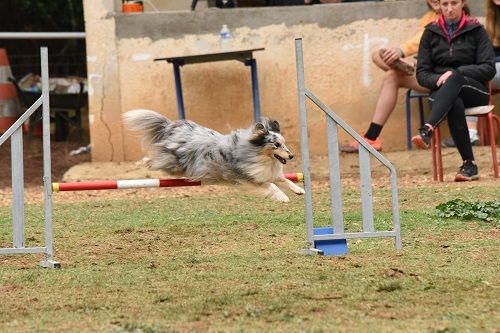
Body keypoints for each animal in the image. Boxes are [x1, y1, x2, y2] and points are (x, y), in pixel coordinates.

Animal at [124, 110, 304, 201]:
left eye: (284, 143)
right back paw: (143, 163)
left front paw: (299, 190)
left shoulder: (266, 173)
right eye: (276, 145)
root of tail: (172, 126)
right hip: (173, 162)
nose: (291, 156)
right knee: (156, 158)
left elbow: (285, 179)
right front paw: (283, 197)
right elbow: (272, 186)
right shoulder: (247, 178)